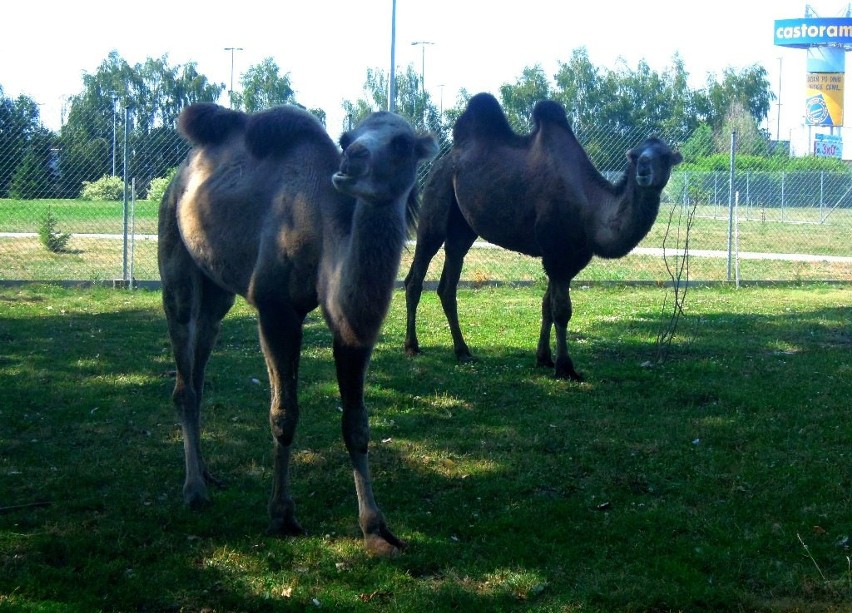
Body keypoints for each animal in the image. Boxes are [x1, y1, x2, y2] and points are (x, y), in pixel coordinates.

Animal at [158, 103, 440, 556]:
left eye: (401, 143)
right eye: (347, 138)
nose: (351, 160)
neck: (326, 232)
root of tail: (181, 176)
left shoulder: (353, 330)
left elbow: (357, 423)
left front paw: (375, 529)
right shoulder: (276, 309)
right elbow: (284, 413)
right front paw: (281, 514)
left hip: (218, 291)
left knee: (201, 360)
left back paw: (208, 474)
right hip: (174, 254)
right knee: (184, 365)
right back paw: (195, 491)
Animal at [402, 91, 684, 380]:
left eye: (664, 156)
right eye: (636, 156)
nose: (643, 170)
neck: (590, 207)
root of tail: (443, 161)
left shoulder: (569, 257)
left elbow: (547, 305)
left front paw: (544, 358)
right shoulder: (556, 253)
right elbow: (561, 310)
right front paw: (565, 367)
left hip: (462, 228)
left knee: (449, 281)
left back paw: (463, 351)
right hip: (435, 201)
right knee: (416, 275)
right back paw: (412, 345)